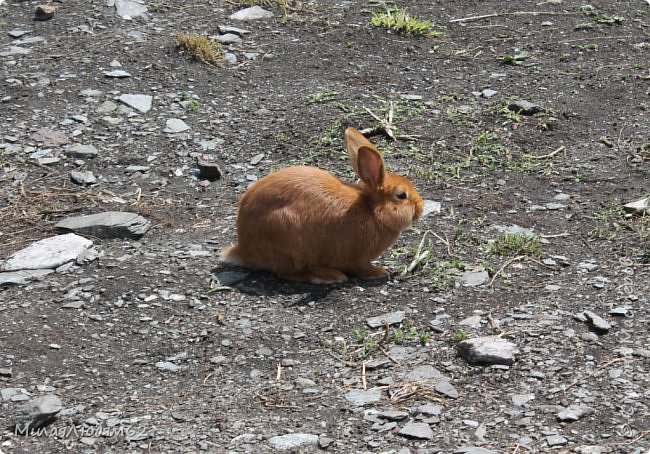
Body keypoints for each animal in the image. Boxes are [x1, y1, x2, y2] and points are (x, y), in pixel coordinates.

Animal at [221, 127, 426, 284]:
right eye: (401, 195)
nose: (421, 207)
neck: (372, 211)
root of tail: (243, 249)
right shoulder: (354, 258)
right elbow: (359, 267)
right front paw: (378, 272)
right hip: (288, 236)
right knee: (288, 272)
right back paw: (327, 276)